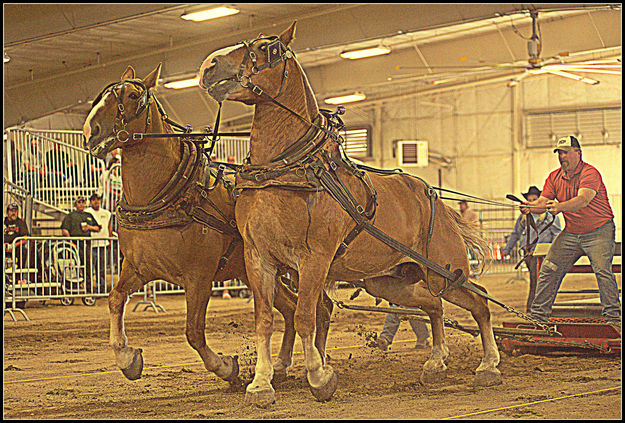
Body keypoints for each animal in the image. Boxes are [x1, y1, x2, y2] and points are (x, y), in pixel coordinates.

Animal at [84, 63, 336, 388]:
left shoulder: (199, 277)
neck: (167, 194)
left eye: (133, 95)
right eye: (102, 94)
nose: (91, 132)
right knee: (295, 309)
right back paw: (281, 365)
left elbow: (193, 331)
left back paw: (315, 363)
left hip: (299, 264)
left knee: (316, 308)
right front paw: (127, 358)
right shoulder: (138, 268)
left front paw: (226, 367)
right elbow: (115, 300)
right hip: (260, 271)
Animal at [200, 20, 502, 408]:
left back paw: (488, 367)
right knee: (434, 306)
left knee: (478, 302)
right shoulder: (259, 259)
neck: (290, 168)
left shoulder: (314, 259)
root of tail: (434, 197)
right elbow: (265, 319)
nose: (209, 65)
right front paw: (261, 384)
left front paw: (319, 377)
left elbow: (304, 316)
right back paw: (435, 365)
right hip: (392, 281)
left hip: (445, 271)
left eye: (269, 48)